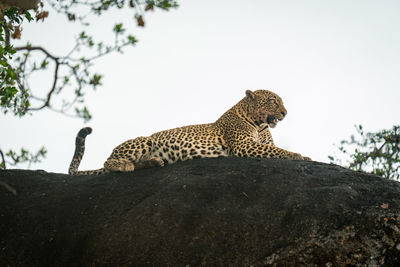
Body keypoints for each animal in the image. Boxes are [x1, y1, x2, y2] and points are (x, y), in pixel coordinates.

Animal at [69, 90, 310, 176]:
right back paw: (124, 165)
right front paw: (299, 156)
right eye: (273, 101)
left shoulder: (263, 144)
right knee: (109, 162)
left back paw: (154, 162)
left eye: (281, 102)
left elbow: (274, 149)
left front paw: (302, 155)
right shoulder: (244, 146)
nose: (285, 112)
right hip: (144, 141)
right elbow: (280, 152)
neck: (260, 124)